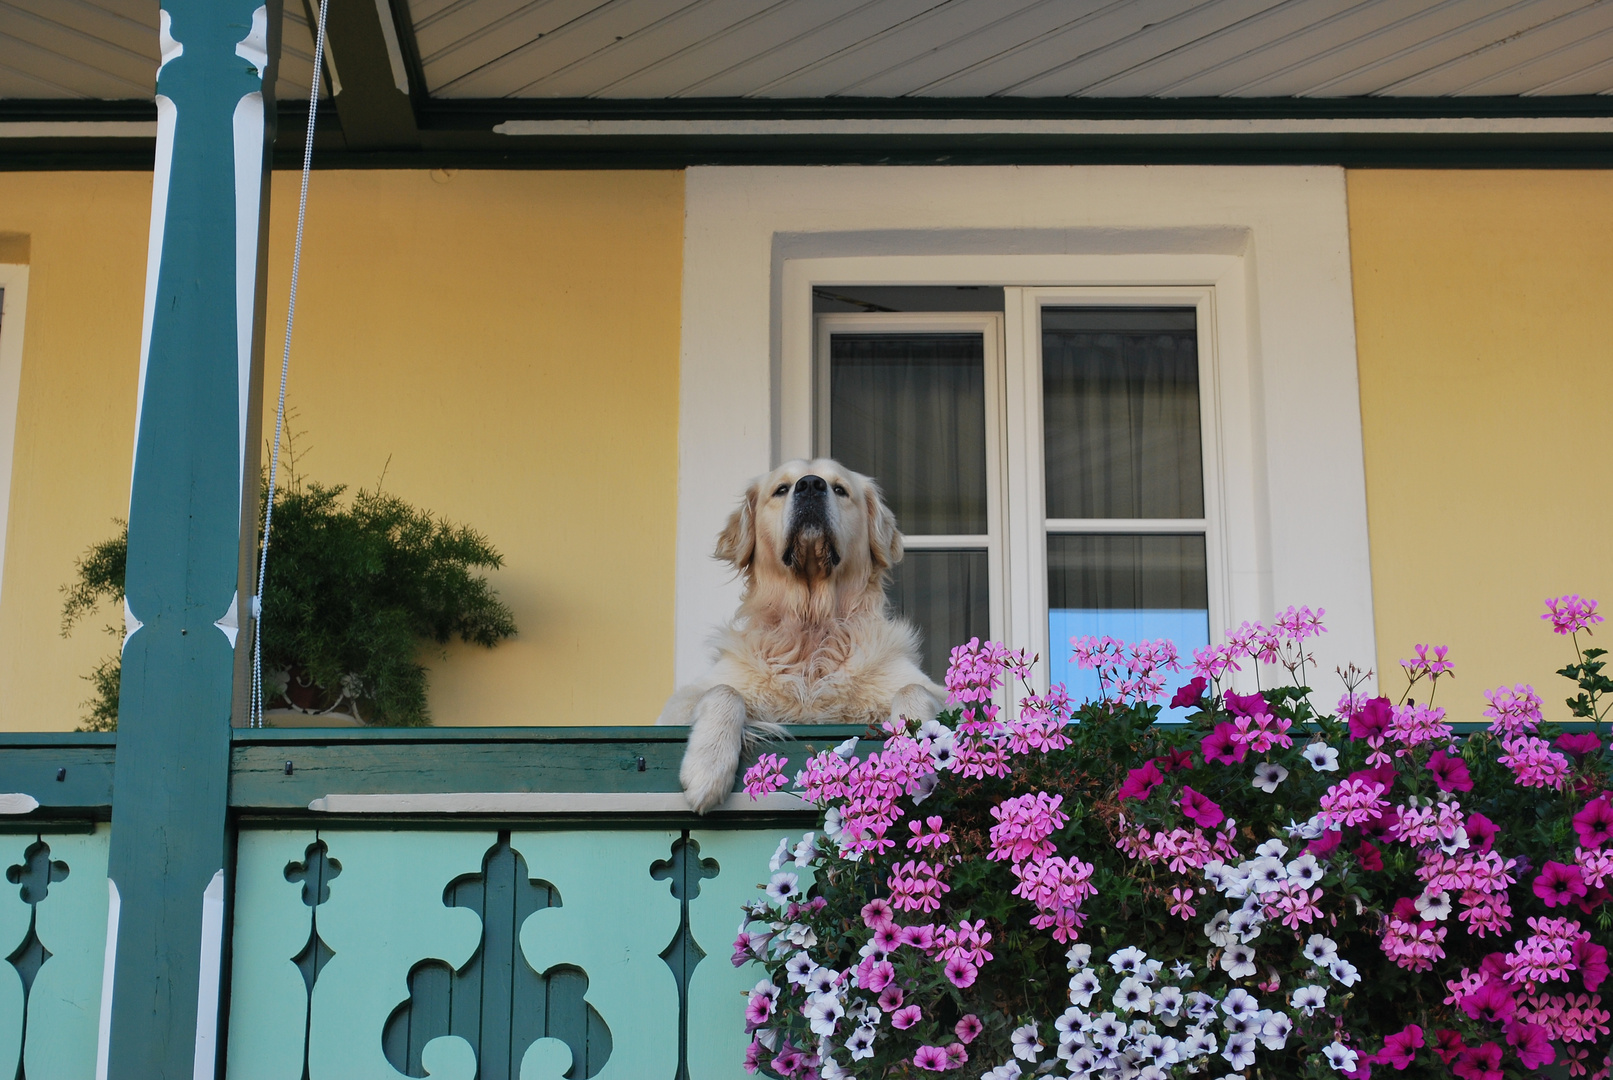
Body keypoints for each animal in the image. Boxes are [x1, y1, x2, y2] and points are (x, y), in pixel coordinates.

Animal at [661, 457, 948, 812]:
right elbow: (724, 691)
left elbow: (913, 689)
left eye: (840, 489)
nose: (811, 485)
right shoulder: (678, 705)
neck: (811, 630)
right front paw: (707, 769)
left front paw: (915, 754)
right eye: (781, 489)